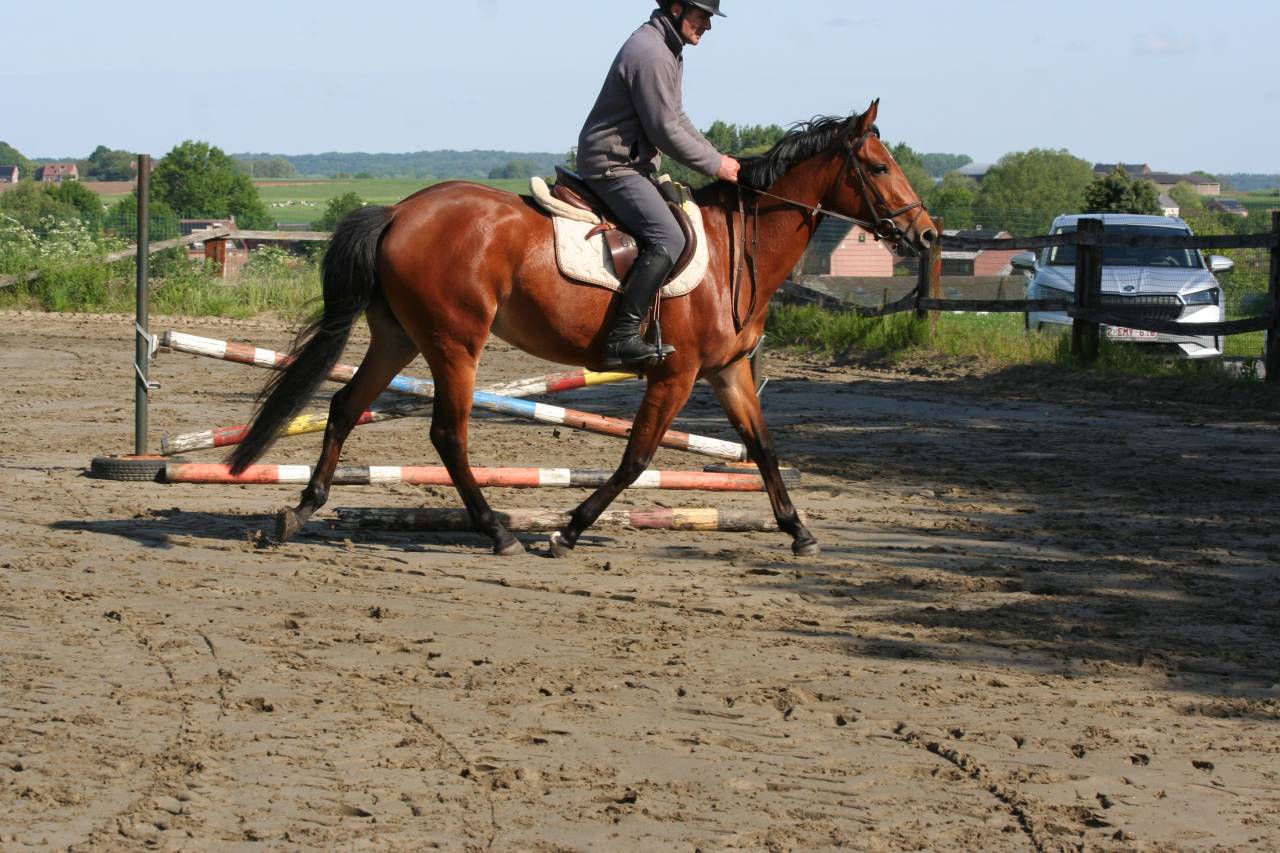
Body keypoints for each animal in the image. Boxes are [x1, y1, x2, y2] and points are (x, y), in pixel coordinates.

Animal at [228, 99, 937, 557]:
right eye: (879, 168)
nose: (926, 235)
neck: (737, 247)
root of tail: (401, 210)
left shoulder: (728, 371)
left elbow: (762, 448)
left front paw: (798, 531)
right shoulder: (676, 373)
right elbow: (636, 457)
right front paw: (566, 530)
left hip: (399, 337)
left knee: (346, 407)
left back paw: (299, 512)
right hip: (456, 344)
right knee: (447, 434)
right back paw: (497, 530)